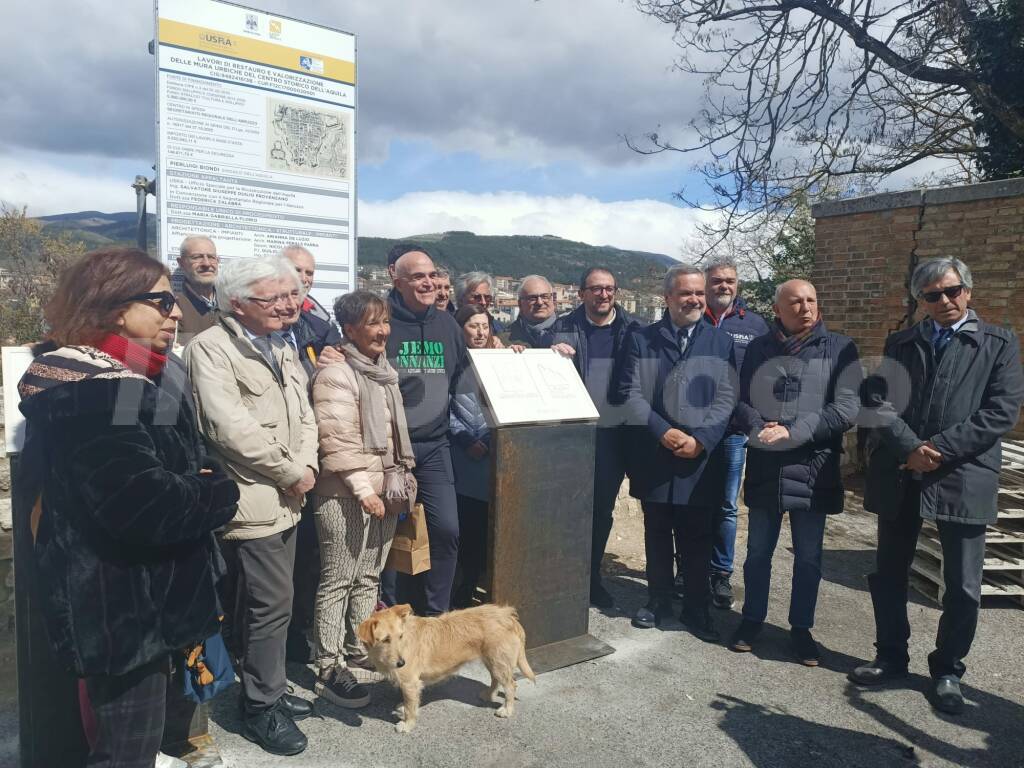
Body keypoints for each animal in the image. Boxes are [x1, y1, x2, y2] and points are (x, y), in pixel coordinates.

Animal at [358, 606, 536, 737]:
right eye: (385, 640)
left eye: (400, 636)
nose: (402, 663)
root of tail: (508, 616)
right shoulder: (409, 684)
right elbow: (409, 703)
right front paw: (403, 707)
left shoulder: (410, 683)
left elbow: (410, 707)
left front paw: (407, 724)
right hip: (492, 661)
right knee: (495, 679)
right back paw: (488, 694)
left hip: (498, 662)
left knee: (511, 685)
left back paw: (507, 709)